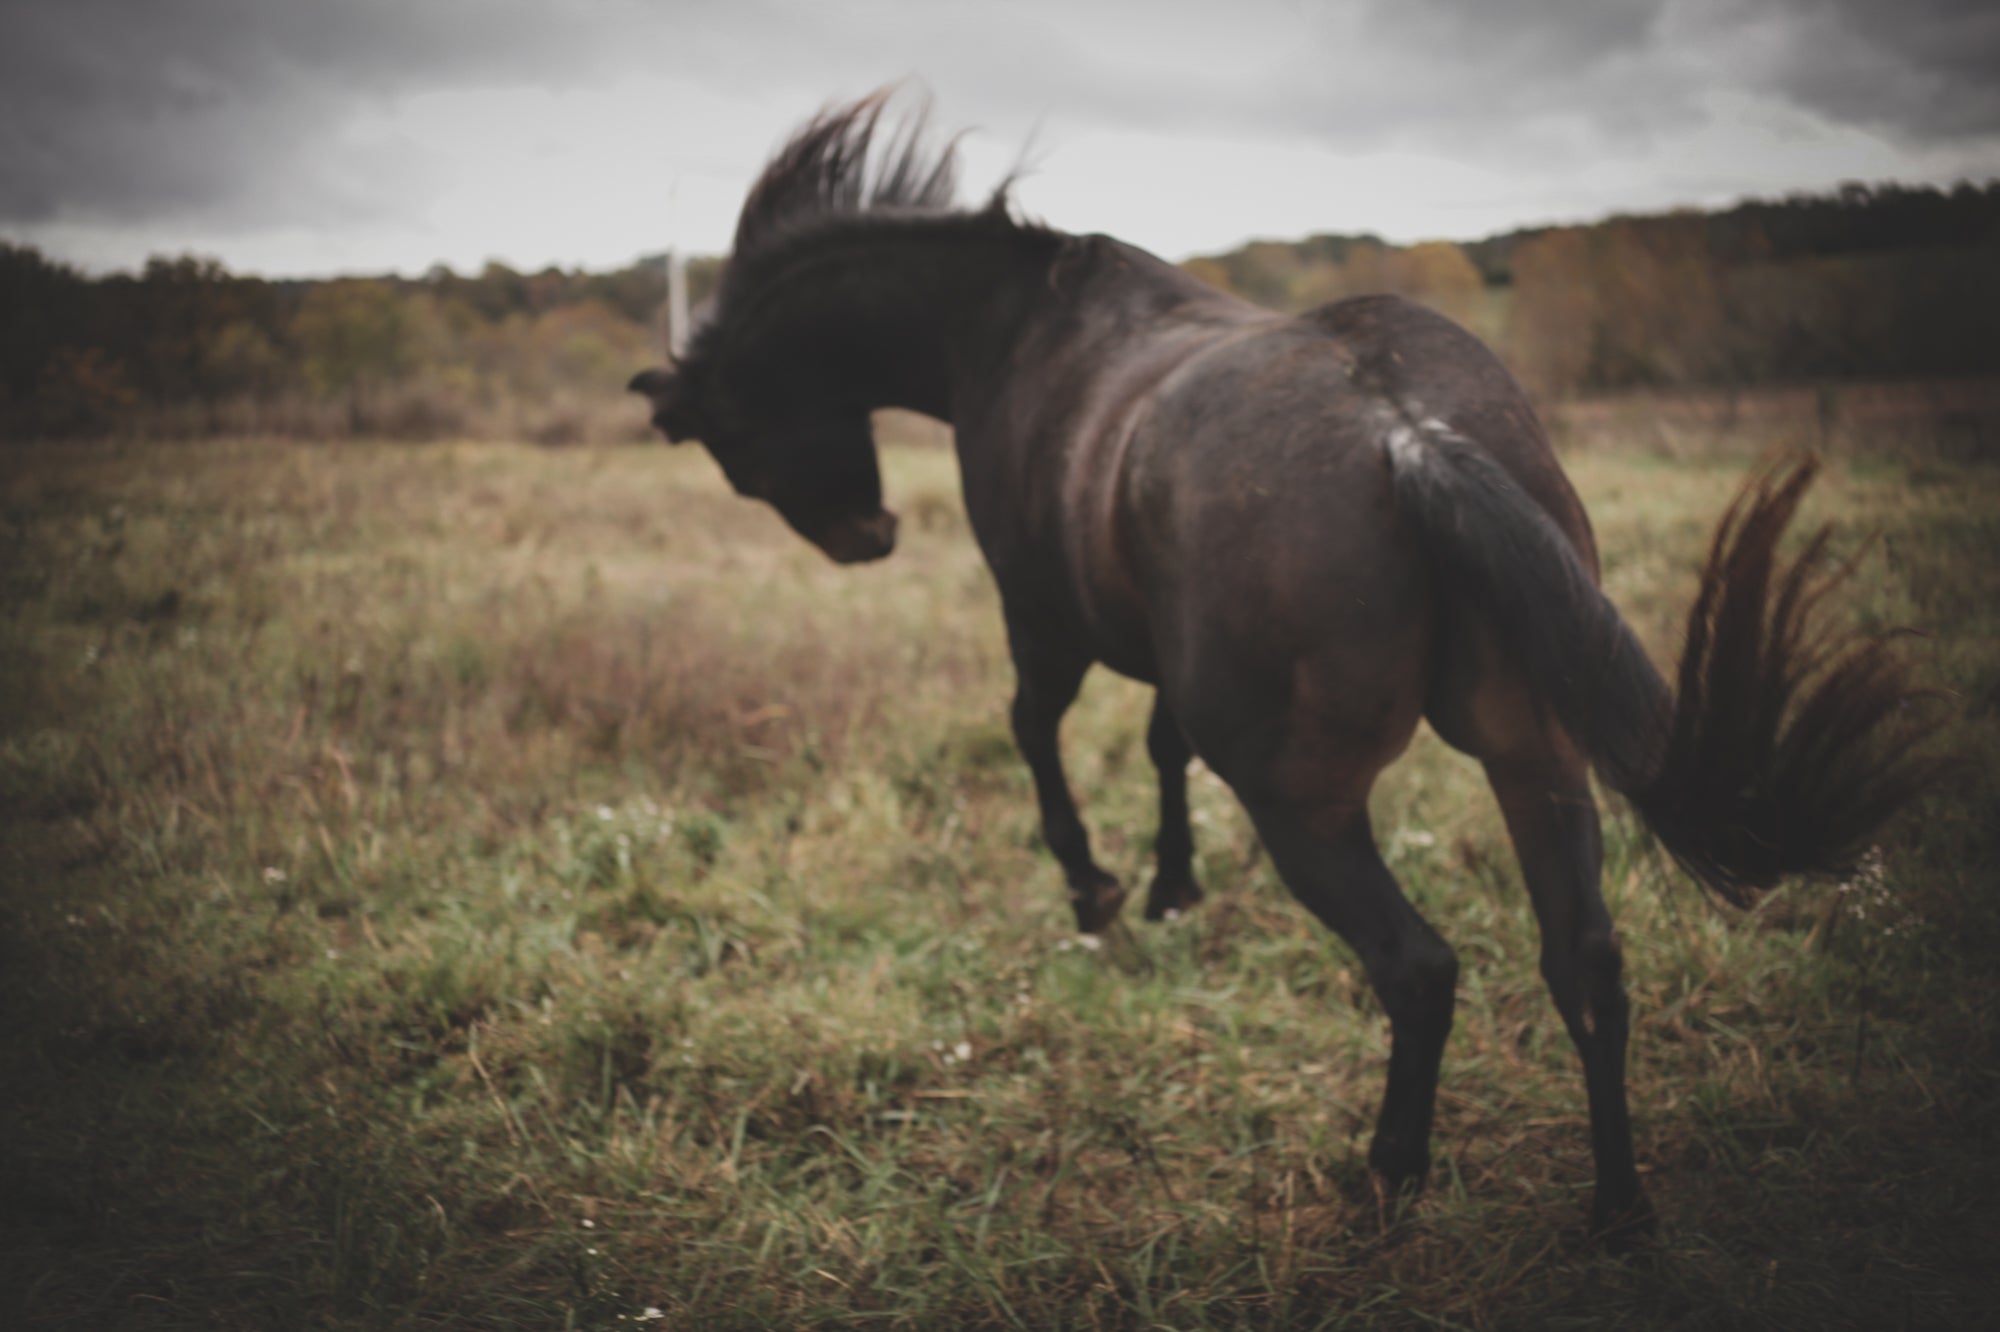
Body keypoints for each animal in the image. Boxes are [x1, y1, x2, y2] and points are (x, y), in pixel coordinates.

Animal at [628, 92, 1944, 1243]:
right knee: (1584, 962)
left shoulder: (1041, 621)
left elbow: (1034, 733)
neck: (1007, 329)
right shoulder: (1162, 660)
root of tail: (1406, 434)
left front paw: (1096, 889)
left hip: (1301, 800)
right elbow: (1157, 745)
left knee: (1417, 969)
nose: (869, 537)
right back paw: (1616, 1216)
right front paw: (1170, 884)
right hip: (1533, 754)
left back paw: (1386, 1182)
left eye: (724, 437)